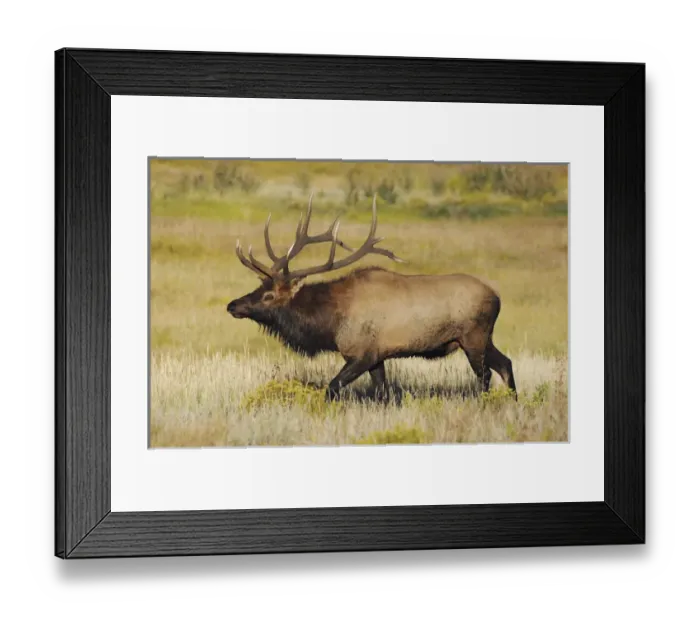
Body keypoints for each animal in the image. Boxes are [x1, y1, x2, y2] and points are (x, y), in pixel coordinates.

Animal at [226, 193, 517, 402]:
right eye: (259, 287)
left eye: (269, 295)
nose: (232, 305)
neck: (331, 322)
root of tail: (497, 297)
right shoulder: (378, 356)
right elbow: (383, 394)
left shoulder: (361, 353)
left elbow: (332, 388)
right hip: (482, 338)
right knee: (506, 363)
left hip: (473, 337)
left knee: (486, 374)